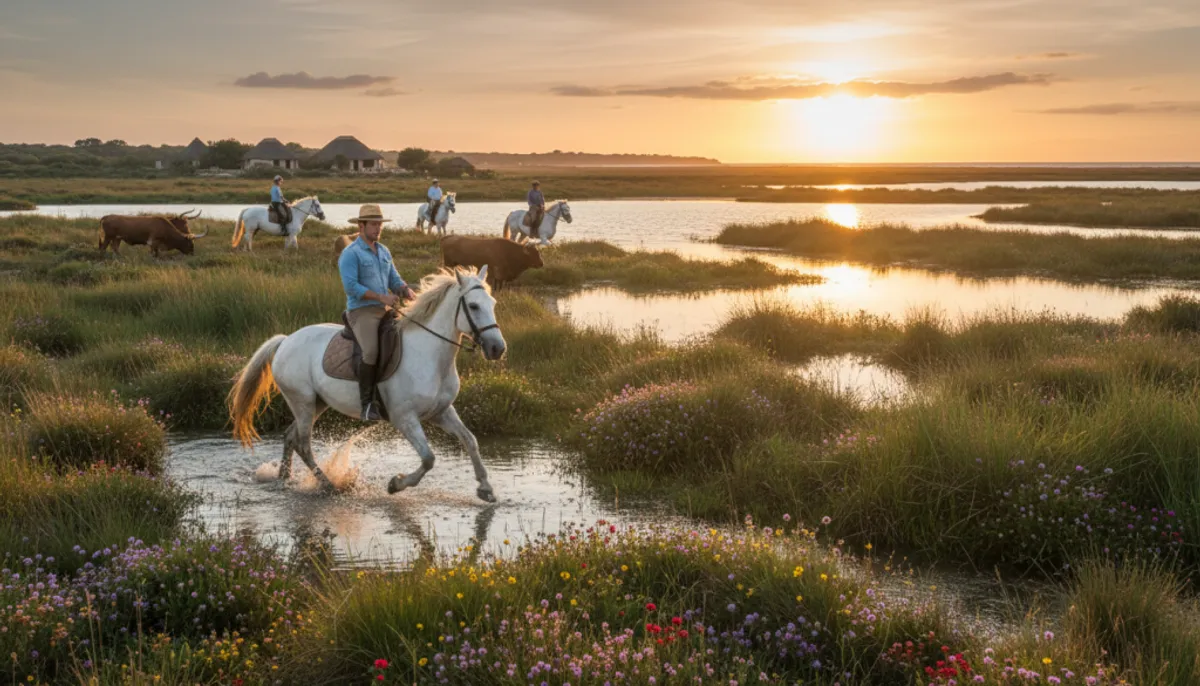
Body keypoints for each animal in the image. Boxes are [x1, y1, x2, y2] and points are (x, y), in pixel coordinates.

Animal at [227, 267, 507, 502]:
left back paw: (284, 479)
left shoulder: (441, 412)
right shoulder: (405, 418)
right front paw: (396, 484)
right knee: (303, 444)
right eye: (473, 306)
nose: (497, 348)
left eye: (492, 304)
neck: (431, 356)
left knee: (290, 437)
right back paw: (329, 486)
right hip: (302, 402)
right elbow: (428, 458)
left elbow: (470, 440)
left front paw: (486, 489)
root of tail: (286, 341)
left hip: (316, 404)